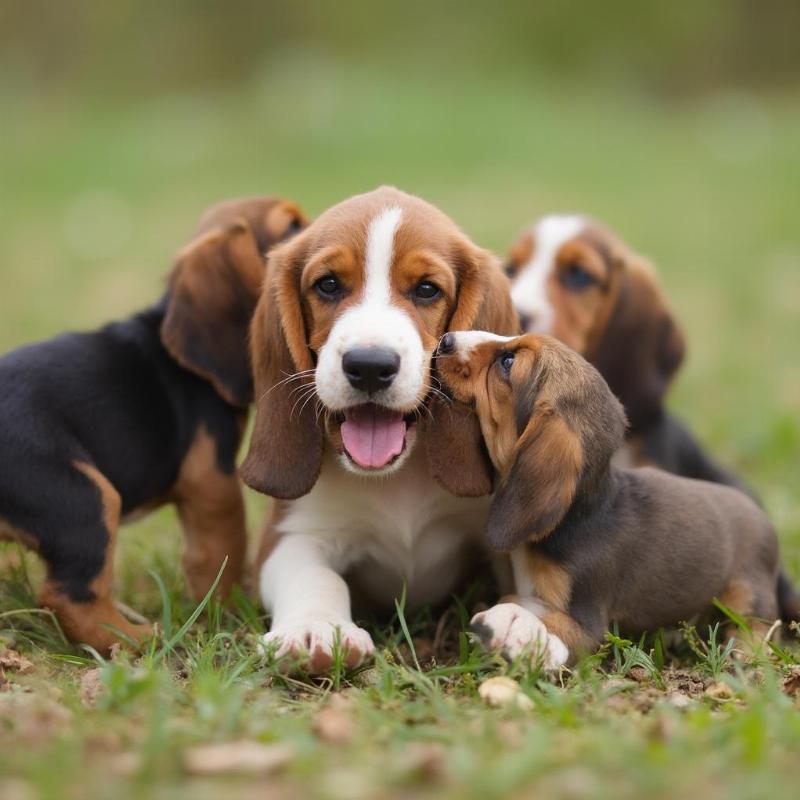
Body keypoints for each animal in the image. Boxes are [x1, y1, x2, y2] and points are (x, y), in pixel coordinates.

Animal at [0, 197, 306, 652]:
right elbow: (222, 550)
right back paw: (138, 639)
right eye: (290, 226)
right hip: (84, 497)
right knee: (70, 596)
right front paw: (229, 609)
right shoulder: (211, 482)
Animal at [242, 188, 520, 676]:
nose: (370, 366)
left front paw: (528, 620)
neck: (397, 479)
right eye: (328, 285)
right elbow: (316, 577)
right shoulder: (292, 535)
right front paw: (314, 627)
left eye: (426, 289)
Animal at [434, 330, 796, 668]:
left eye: (508, 362)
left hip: (749, 591)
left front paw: (516, 628)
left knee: (758, 625)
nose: (445, 340)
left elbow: (556, 626)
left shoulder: (588, 622)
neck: (583, 513)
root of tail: (758, 511)